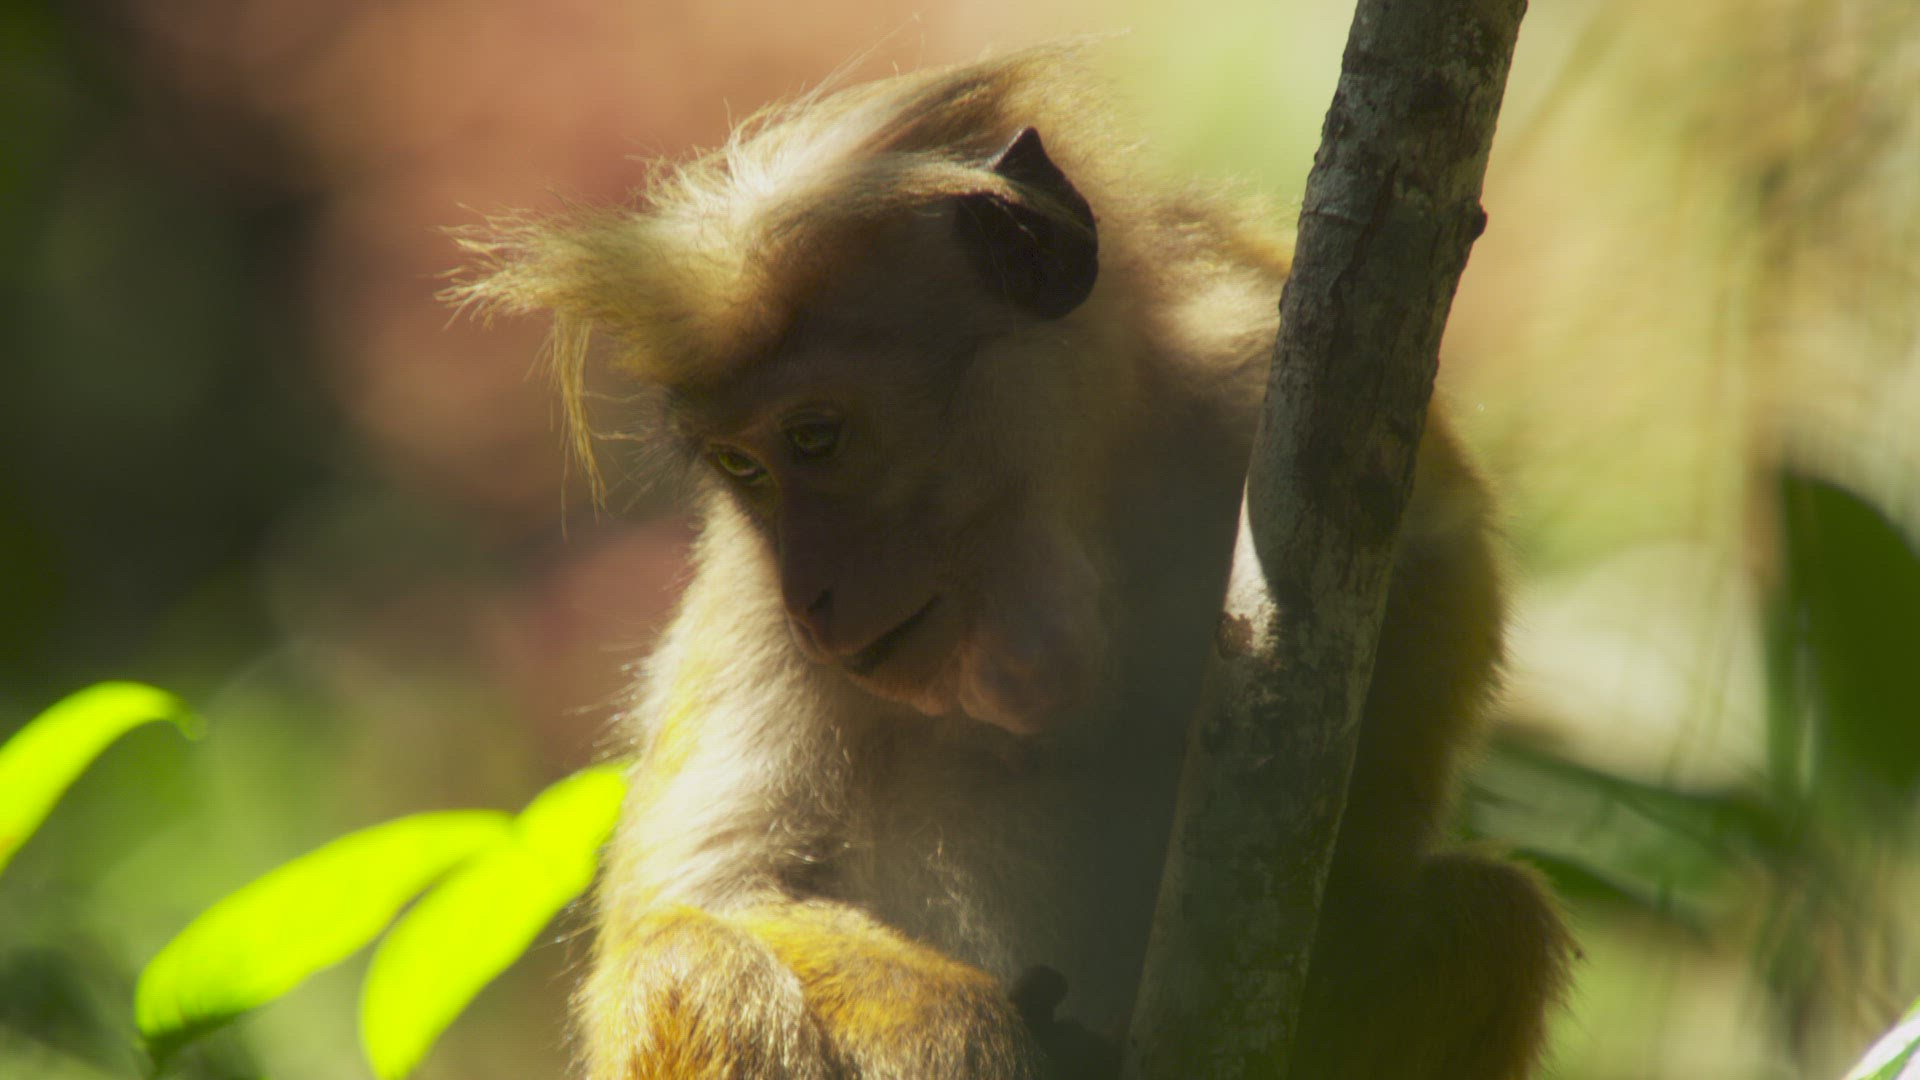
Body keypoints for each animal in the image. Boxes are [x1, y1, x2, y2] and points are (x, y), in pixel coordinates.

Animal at [454, 44, 1571, 1080]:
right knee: (694, 963)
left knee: (1488, 916)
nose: (809, 596)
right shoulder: (749, 601)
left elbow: (1437, 558)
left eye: (816, 438)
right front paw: (974, 1035)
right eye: (741, 467)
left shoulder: (1256, 373)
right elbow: (702, 897)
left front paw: (1343, 908)